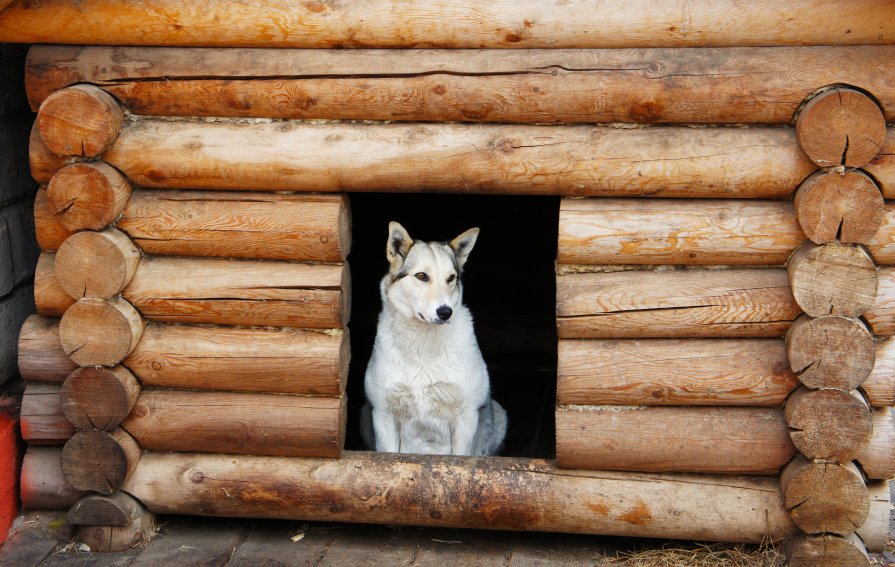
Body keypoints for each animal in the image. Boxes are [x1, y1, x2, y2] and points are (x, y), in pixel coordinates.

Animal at [360, 222, 508, 458]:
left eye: (451, 278)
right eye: (421, 276)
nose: (445, 312)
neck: (423, 343)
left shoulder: (465, 416)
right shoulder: (383, 414)